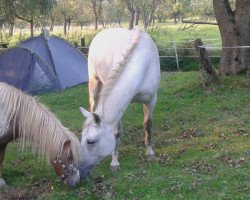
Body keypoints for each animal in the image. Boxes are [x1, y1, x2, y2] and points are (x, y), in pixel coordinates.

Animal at [78, 26, 160, 178]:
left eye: (90, 141)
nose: (79, 170)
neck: (142, 63)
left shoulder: (151, 99)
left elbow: (148, 125)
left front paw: (150, 152)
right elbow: (116, 133)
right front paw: (114, 161)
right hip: (95, 83)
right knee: (93, 106)